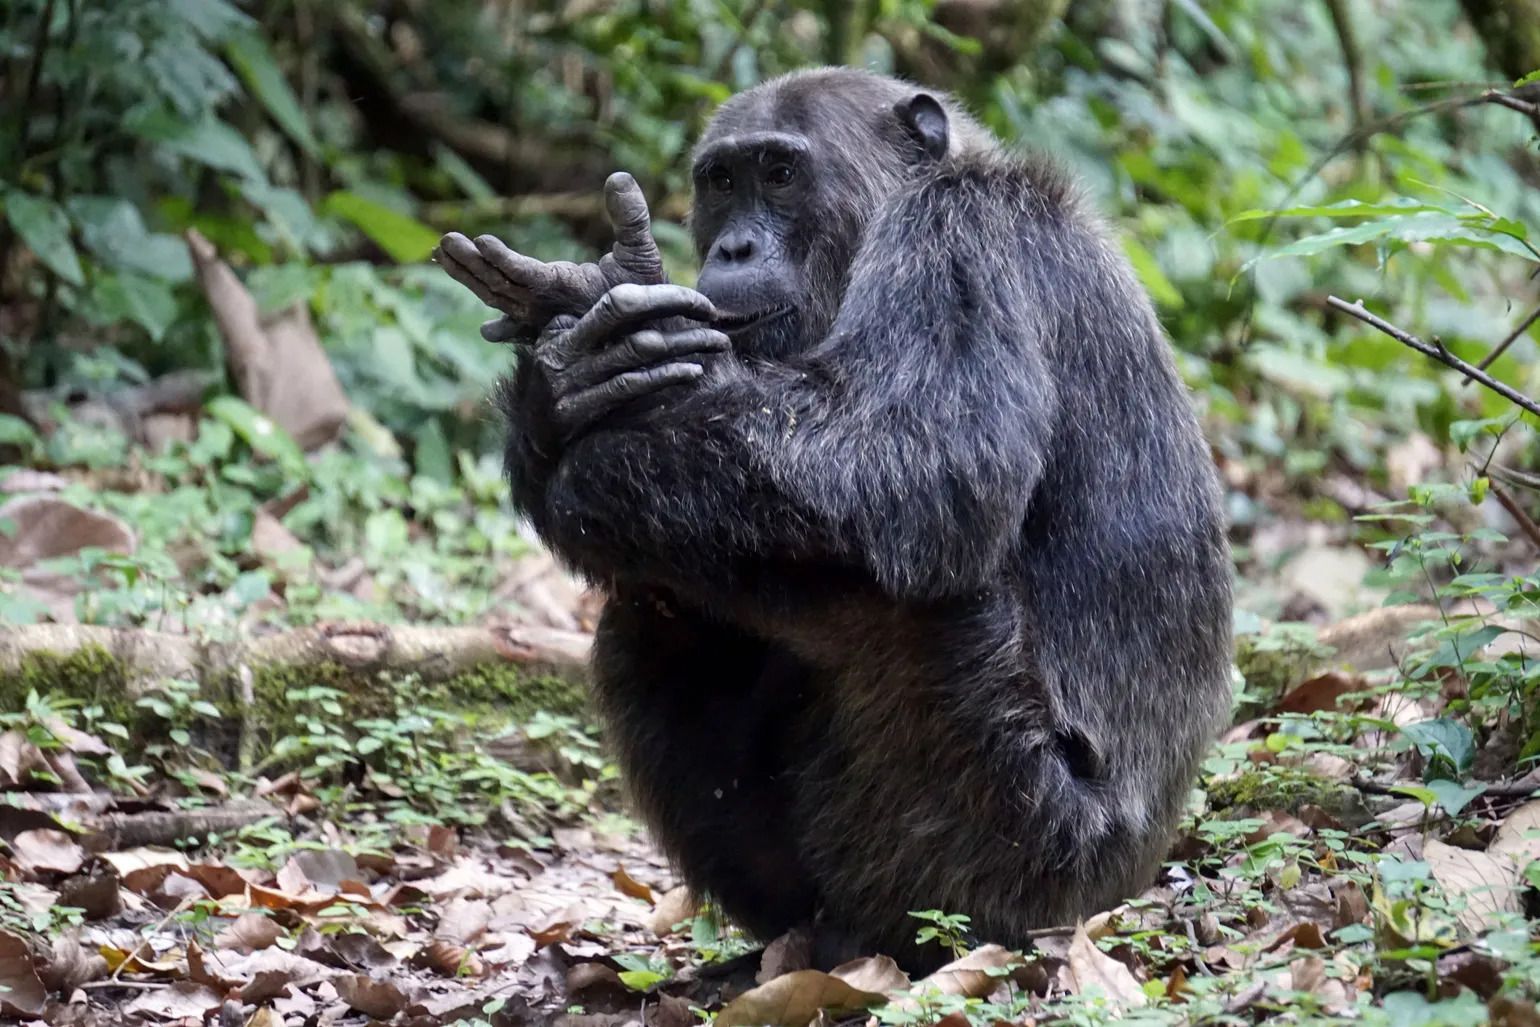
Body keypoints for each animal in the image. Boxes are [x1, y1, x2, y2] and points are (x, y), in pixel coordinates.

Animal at [436, 67, 1233, 972]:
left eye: (781, 174)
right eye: (722, 181)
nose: (734, 248)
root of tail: (1128, 890)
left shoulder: (959, 235)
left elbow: (917, 461)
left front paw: (614, 328)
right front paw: (566, 376)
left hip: (1035, 857)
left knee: (915, 611)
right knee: (658, 601)